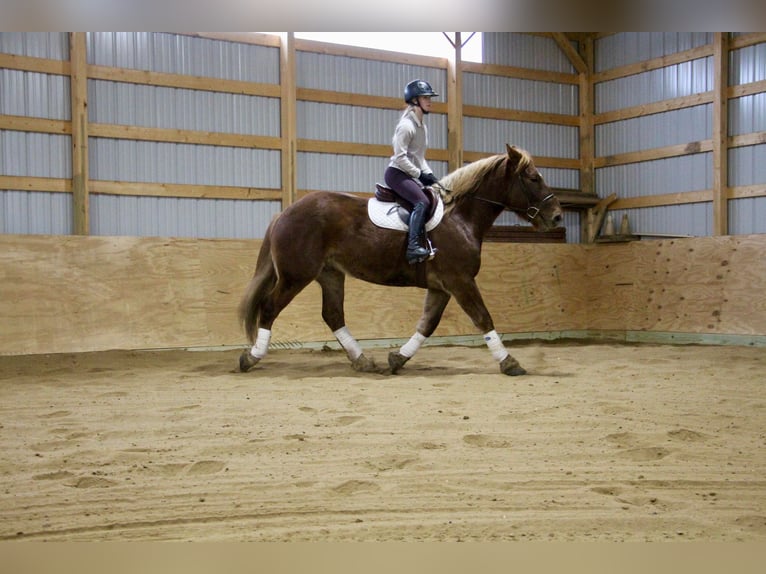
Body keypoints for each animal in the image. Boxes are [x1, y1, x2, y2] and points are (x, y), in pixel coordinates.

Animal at [238, 146, 564, 376]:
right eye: (533, 178)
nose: (557, 216)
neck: (460, 218)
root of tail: (285, 212)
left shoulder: (442, 288)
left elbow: (427, 324)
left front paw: (397, 358)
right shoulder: (460, 281)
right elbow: (483, 317)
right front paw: (510, 362)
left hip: (330, 274)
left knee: (332, 315)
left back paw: (362, 361)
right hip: (296, 276)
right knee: (270, 307)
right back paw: (251, 357)